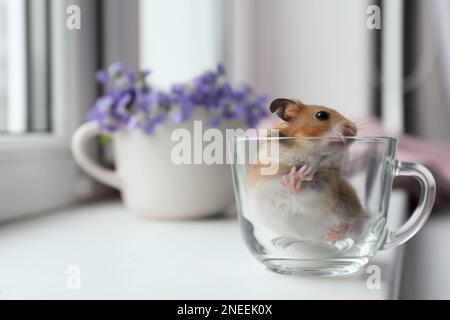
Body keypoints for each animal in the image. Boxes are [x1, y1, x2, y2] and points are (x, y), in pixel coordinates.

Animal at [246, 99, 370, 249]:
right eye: (321, 115)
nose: (354, 128)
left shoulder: (323, 192)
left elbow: (304, 195)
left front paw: (297, 176)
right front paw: (295, 176)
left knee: (354, 226)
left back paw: (333, 234)